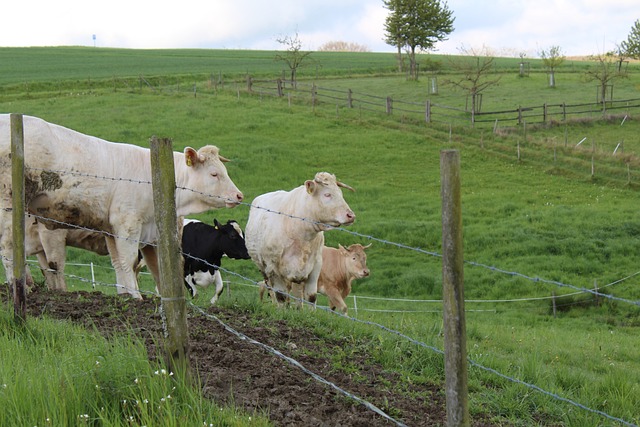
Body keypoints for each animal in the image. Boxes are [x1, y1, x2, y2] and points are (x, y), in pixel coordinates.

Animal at [0, 115, 242, 300]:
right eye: (214, 174)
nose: (239, 195)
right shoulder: (127, 224)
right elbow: (128, 262)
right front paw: (136, 297)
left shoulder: (117, 230)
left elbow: (123, 264)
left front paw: (127, 296)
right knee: (9, 248)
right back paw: (19, 286)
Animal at [245, 172, 356, 310]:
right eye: (327, 194)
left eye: (340, 193)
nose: (351, 216)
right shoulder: (272, 267)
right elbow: (280, 296)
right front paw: (282, 312)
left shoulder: (316, 265)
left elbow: (311, 297)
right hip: (263, 268)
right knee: (272, 290)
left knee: (297, 294)